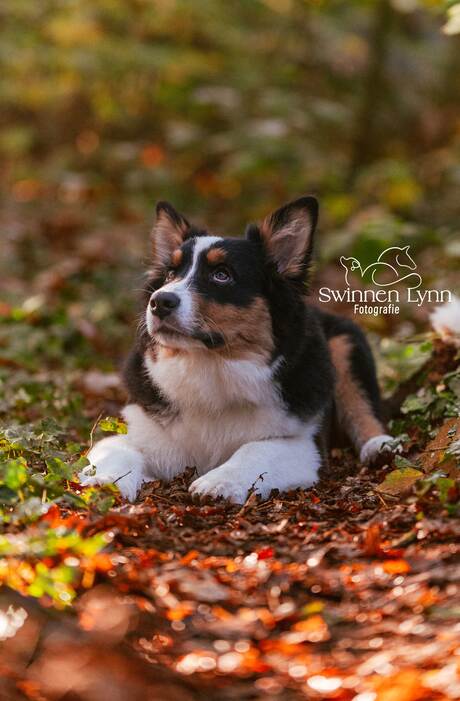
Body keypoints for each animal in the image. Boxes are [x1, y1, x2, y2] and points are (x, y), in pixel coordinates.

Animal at [79, 198, 392, 504]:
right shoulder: (138, 432)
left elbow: (255, 449)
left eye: (222, 275)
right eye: (170, 273)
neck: (209, 368)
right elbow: (117, 451)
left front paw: (217, 483)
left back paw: (381, 447)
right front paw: (103, 483)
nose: (159, 302)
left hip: (346, 341)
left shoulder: (304, 445)